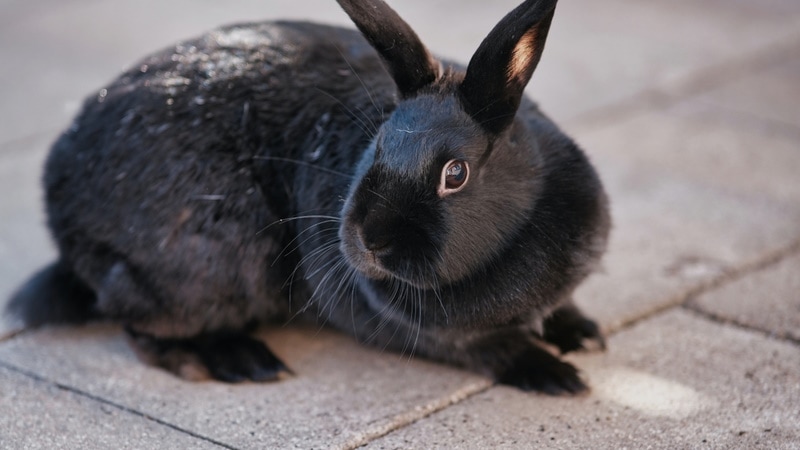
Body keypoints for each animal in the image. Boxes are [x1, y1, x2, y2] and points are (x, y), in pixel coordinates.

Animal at [6, 0, 610, 394]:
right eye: (377, 145)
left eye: (455, 173)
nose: (369, 242)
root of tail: (60, 206)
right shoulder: (436, 336)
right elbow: (492, 349)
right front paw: (559, 377)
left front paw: (586, 336)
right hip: (205, 267)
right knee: (137, 320)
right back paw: (237, 361)